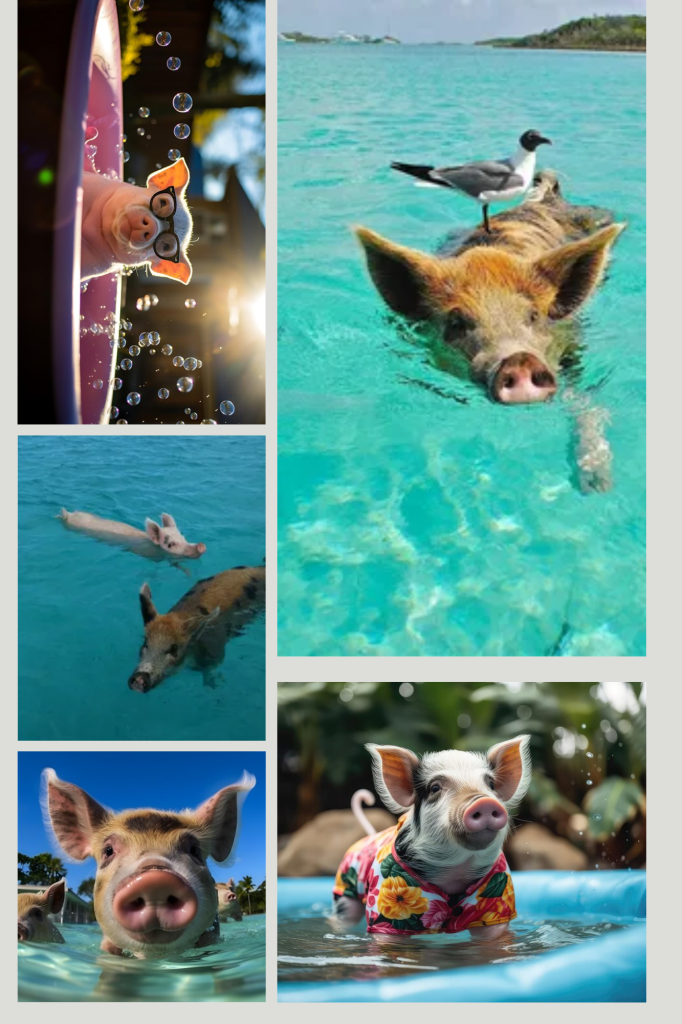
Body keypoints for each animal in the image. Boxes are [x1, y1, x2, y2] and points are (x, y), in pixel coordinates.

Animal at [332, 736, 531, 940]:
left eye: (490, 784)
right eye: (435, 787)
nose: (483, 801)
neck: (455, 873)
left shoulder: (496, 899)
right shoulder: (387, 904)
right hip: (345, 890)